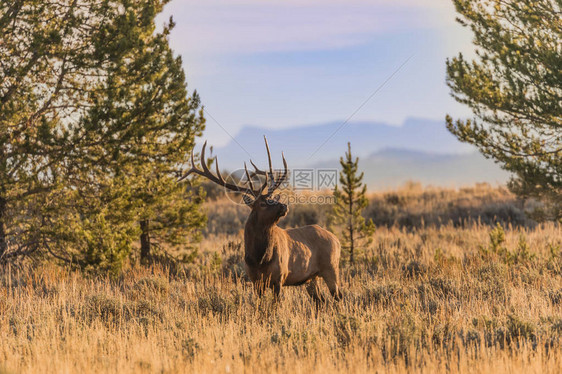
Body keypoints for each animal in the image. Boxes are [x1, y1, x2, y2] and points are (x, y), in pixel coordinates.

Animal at [178, 138, 342, 300]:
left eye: (272, 198)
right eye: (262, 203)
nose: (284, 206)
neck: (259, 258)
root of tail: (336, 240)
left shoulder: (279, 277)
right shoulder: (255, 280)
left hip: (331, 267)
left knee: (338, 296)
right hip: (312, 277)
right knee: (322, 300)